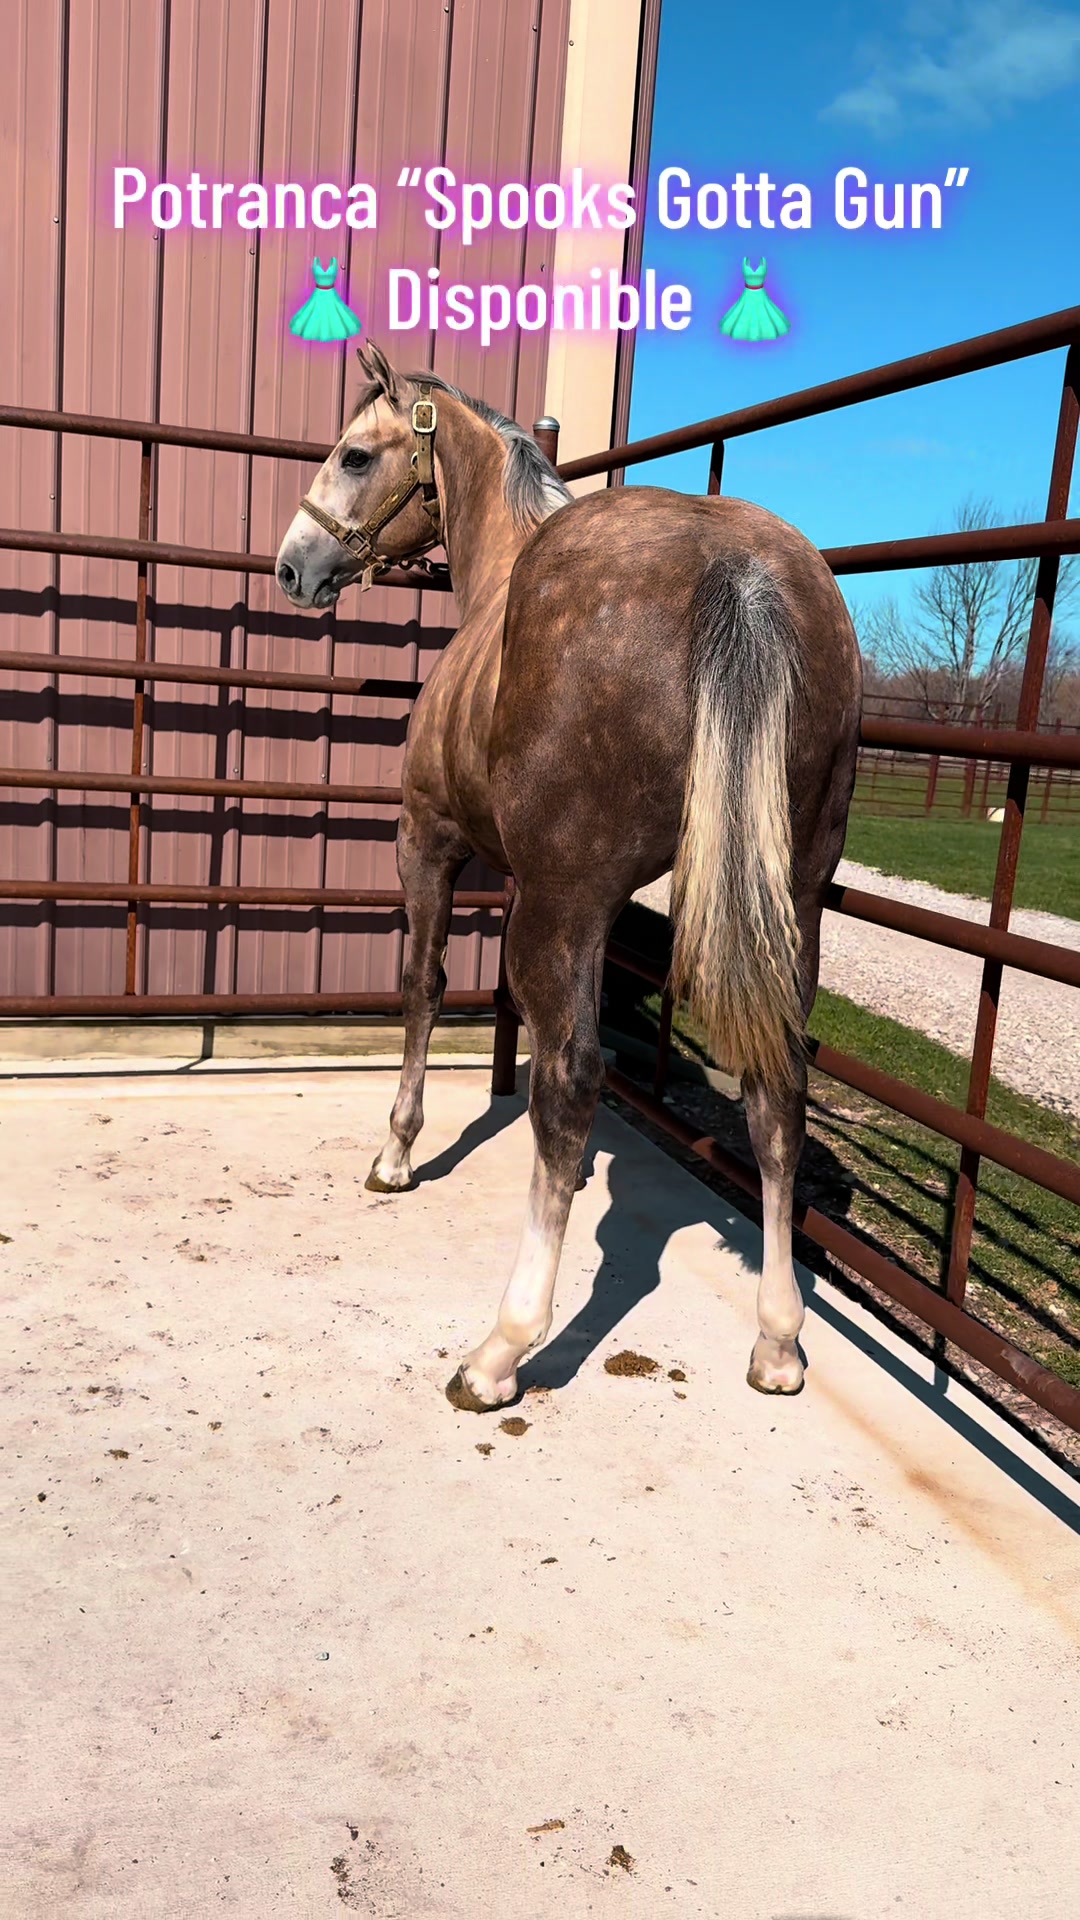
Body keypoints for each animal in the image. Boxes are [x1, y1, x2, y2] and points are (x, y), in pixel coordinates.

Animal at [275, 342, 862, 1414]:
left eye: (353, 454)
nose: (294, 566)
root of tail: (739, 570)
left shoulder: (430, 842)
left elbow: (423, 987)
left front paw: (396, 1152)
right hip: (792, 903)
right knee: (775, 1088)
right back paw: (777, 1342)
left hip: (566, 900)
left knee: (572, 1079)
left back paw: (502, 1350)